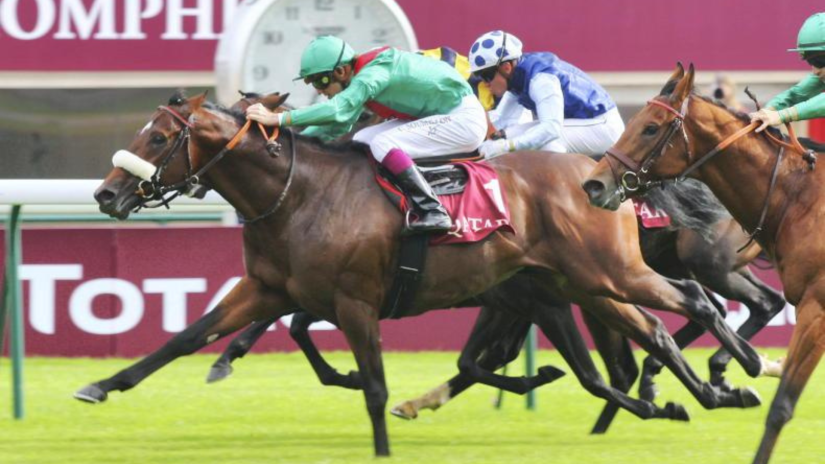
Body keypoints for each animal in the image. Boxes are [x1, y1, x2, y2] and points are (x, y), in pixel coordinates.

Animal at [81, 91, 764, 456]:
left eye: (160, 137)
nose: (106, 195)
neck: (299, 193)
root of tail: (602, 176)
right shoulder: (270, 288)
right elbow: (187, 339)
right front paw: (104, 385)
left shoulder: (357, 301)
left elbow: (377, 385)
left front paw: (383, 442)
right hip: (587, 284)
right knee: (654, 333)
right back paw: (701, 393)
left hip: (614, 274)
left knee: (695, 303)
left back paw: (736, 373)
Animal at [582, 63, 823, 464]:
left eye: (651, 127)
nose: (594, 184)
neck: (800, 197)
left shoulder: (815, 308)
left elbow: (782, 406)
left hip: (706, 261)